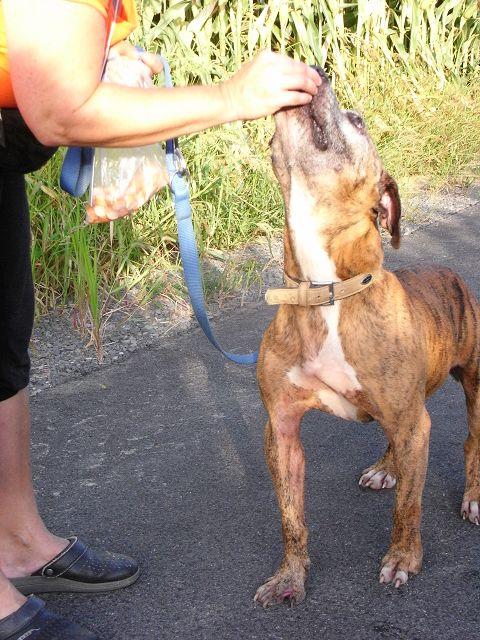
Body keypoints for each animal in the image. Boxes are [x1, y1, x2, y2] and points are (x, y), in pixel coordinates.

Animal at [254, 66, 480, 607]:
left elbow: (408, 507)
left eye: (356, 121)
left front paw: (403, 558)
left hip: (474, 385)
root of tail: (452, 274)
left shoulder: (412, 418)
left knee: (471, 442)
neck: (326, 291)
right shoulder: (282, 428)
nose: (317, 69)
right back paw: (388, 465)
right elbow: (291, 517)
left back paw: (472, 496)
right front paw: (291, 575)